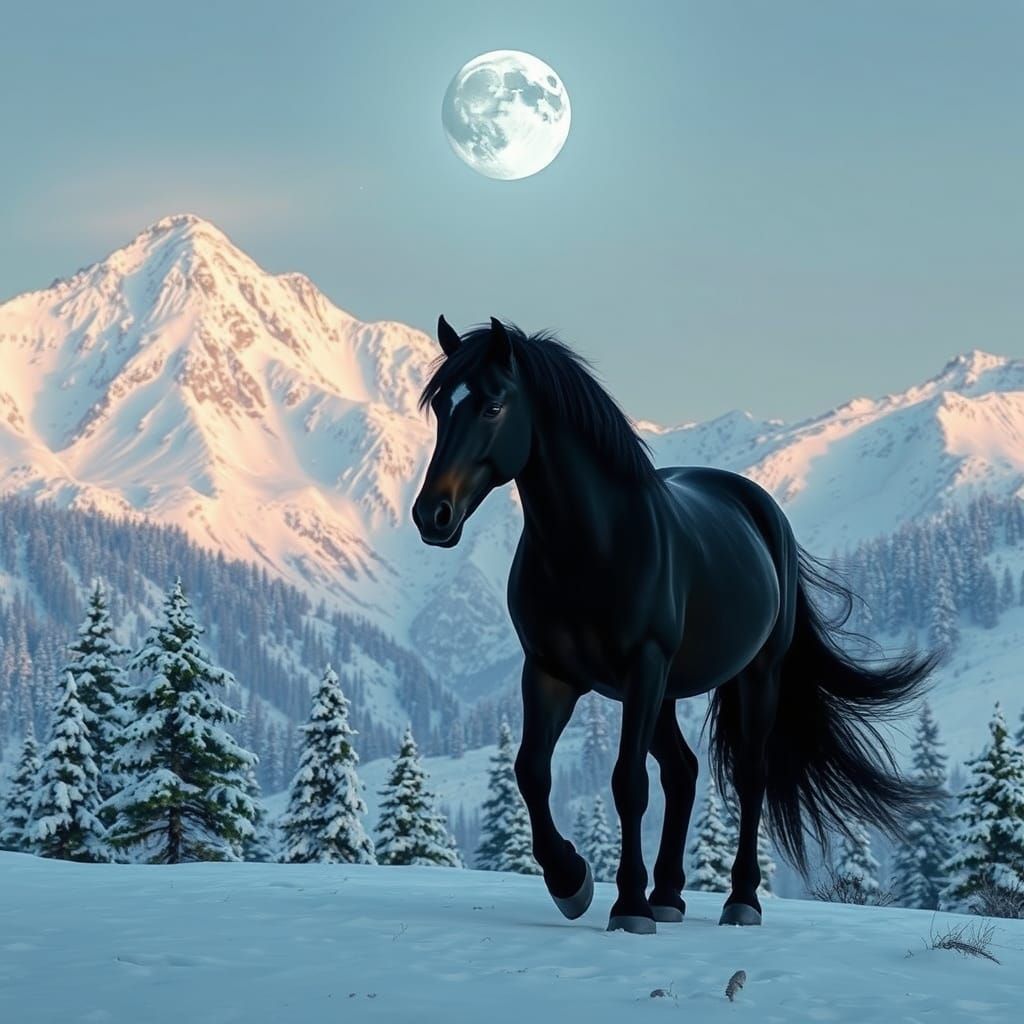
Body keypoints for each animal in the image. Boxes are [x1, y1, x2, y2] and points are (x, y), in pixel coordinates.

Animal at [412, 315, 935, 934]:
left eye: (493, 406)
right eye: (440, 407)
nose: (431, 516)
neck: (594, 547)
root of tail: (761, 509)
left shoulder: (645, 665)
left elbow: (627, 782)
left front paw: (627, 906)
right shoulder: (549, 672)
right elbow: (532, 772)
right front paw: (572, 882)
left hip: (753, 675)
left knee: (749, 776)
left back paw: (740, 900)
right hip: (663, 692)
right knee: (682, 772)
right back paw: (668, 894)